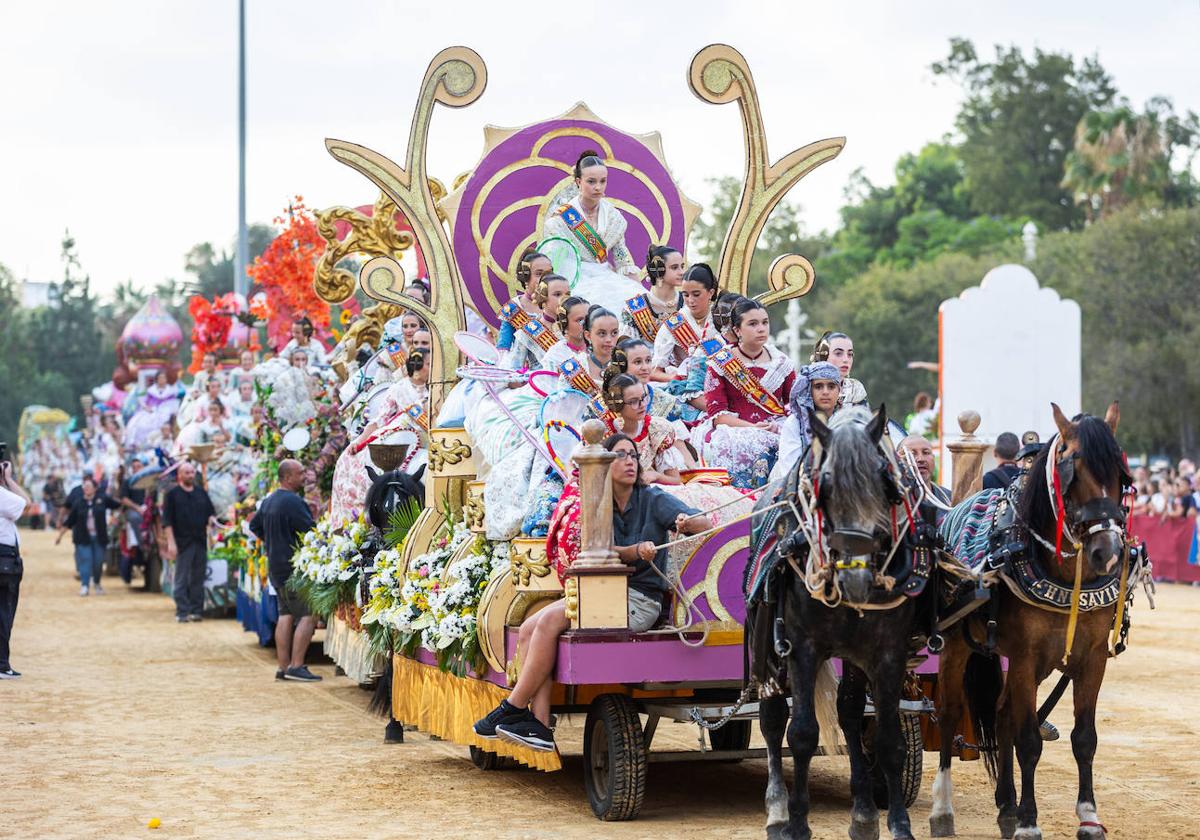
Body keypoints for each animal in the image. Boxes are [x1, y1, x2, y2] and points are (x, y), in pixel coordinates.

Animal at [931, 403, 1128, 835]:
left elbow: (1084, 738)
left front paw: (1088, 816)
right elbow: (1028, 742)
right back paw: (942, 808)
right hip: (957, 645)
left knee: (1003, 713)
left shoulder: (1091, 658)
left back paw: (1006, 804)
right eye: (1074, 469)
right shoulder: (1024, 656)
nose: (1107, 552)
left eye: (1121, 476)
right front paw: (1029, 822)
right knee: (950, 714)